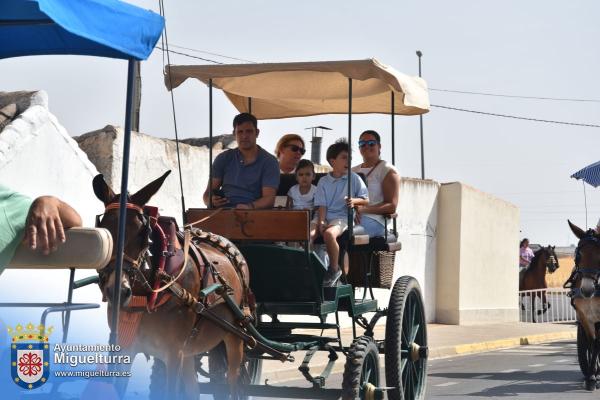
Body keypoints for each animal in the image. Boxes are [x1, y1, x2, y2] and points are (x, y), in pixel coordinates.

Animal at [92, 170, 251, 398]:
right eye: (104, 230)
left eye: (142, 234)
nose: (118, 291)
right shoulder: (124, 346)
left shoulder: (174, 352)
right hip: (190, 351)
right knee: (193, 389)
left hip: (234, 338)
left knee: (233, 382)